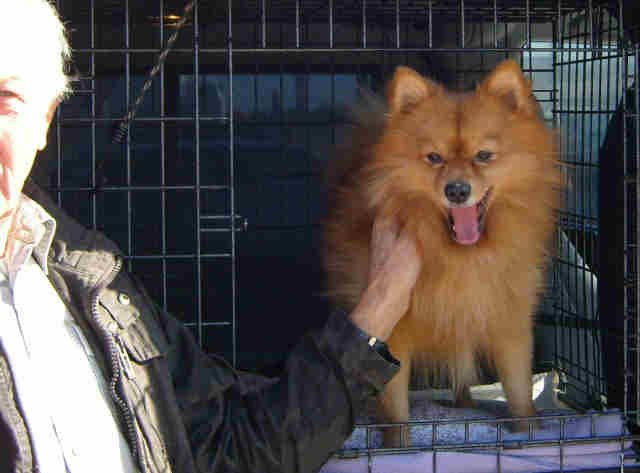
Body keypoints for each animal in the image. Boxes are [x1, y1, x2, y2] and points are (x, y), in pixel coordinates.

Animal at [324, 60, 560, 446]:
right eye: (434, 158)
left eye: (484, 156)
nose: (457, 190)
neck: (463, 257)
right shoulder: (393, 337)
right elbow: (397, 414)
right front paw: (398, 448)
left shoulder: (509, 324)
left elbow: (520, 393)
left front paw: (529, 433)